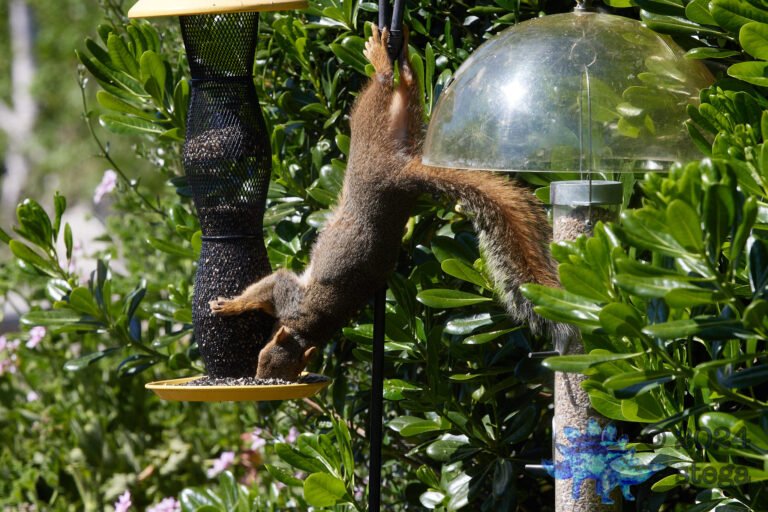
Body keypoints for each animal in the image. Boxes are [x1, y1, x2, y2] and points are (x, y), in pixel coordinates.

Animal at [209, 26, 574, 381]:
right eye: (265, 362)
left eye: (275, 367)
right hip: (396, 123)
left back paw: (382, 60)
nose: (259, 380)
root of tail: (401, 172)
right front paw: (233, 305)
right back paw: (406, 67)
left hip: (371, 125)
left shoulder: (289, 297)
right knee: (404, 91)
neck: (309, 327)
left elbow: (269, 286)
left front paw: (231, 306)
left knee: (383, 85)